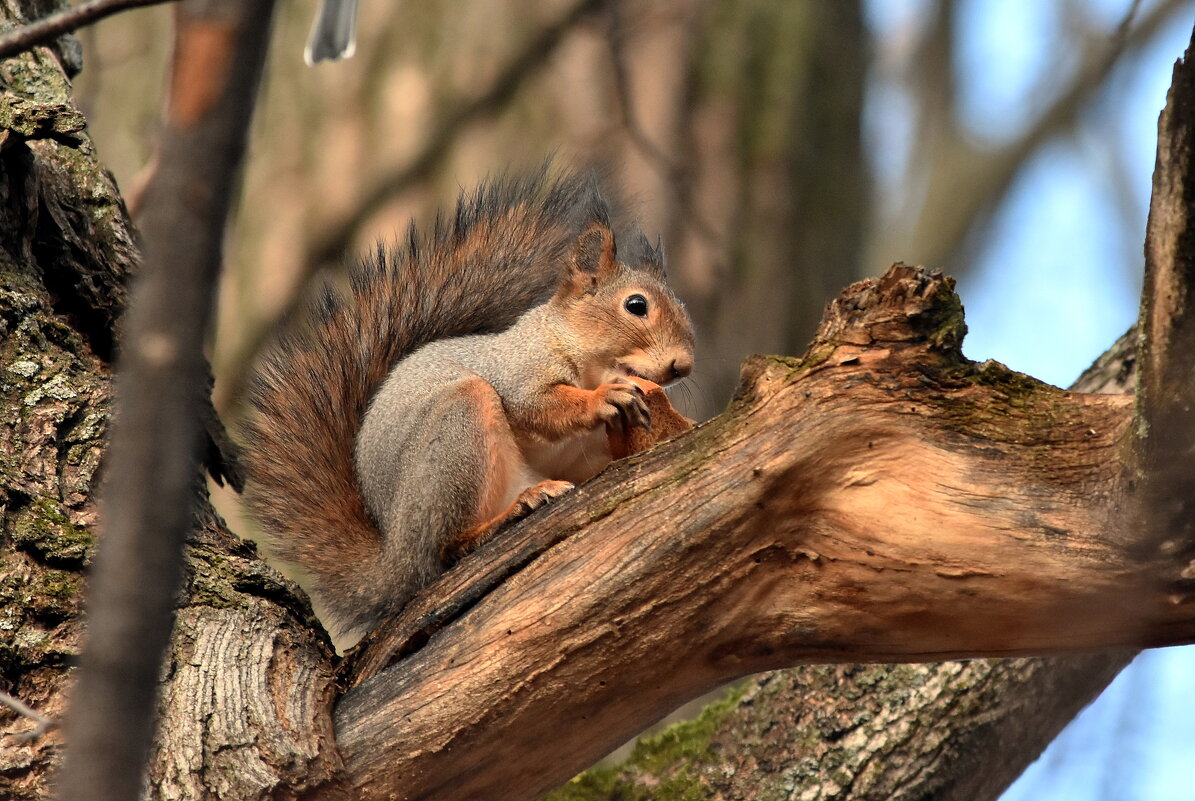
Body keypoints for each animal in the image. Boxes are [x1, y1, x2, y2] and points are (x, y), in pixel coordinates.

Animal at [239, 167, 697, 645]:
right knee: (447, 548)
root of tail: (396, 556)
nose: (683, 365)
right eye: (636, 305)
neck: (578, 352)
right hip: (458, 433)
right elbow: (540, 406)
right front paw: (605, 397)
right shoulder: (517, 371)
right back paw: (516, 509)